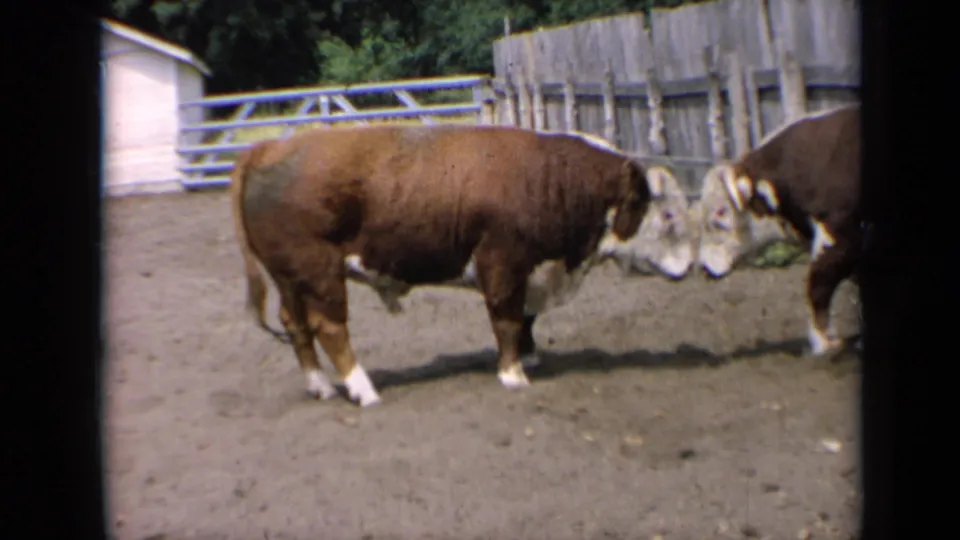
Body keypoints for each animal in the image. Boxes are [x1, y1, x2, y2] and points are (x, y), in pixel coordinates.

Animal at [230, 124, 696, 406]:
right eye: (668, 214)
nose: (692, 265)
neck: (553, 178)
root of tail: (269, 146)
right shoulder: (503, 264)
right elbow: (507, 321)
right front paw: (512, 374)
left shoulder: (528, 273)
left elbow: (526, 320)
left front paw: (528, 357)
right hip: (320, 273)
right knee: (329, 327)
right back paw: (363, 388)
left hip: (289, 277)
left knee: (296, 325)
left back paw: (321, 385)